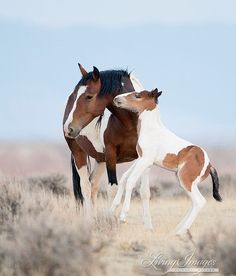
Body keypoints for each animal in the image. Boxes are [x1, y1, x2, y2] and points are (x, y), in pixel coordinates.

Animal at [62, 64, 151, 229]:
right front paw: (113, 222)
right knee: (86, 186)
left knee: (93, 185)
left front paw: (148, 226)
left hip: (100, 159)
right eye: (76, 96)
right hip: (79, 153)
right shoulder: (111, 155)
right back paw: (89, 221)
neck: (131, 123)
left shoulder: (146, 156)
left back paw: (94, 219)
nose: (68, 128)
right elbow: (113, 189)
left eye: (89, 96)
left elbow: (144, 191)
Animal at [112, 90, 221, 235]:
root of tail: (209, 165)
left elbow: (130, 181)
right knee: (194, 202)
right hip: (183, 181)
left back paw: (181, 232)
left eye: (137, 95)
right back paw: (178, 229)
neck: (152, 131)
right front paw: (113, 208)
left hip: (186, 180)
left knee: (199, 202)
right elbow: (124, 178)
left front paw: (123, 216)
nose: (116, 99)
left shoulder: (146, 160)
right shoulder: (141, 158)